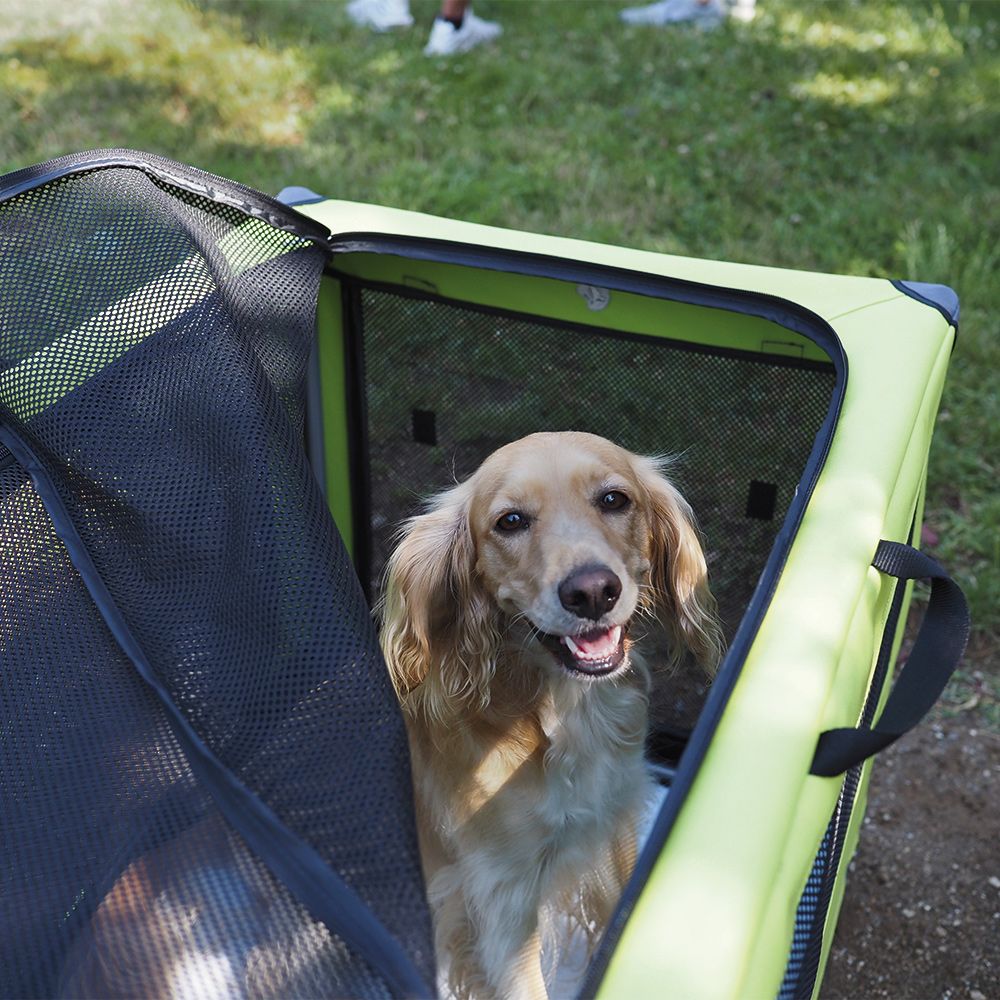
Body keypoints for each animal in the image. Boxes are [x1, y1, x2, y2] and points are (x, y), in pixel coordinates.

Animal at [380, 434, 720, 1000]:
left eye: (614, 499)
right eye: (511, 521)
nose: (592, 592)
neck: (564, 710)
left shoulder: (614, 819)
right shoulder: (502, 899)